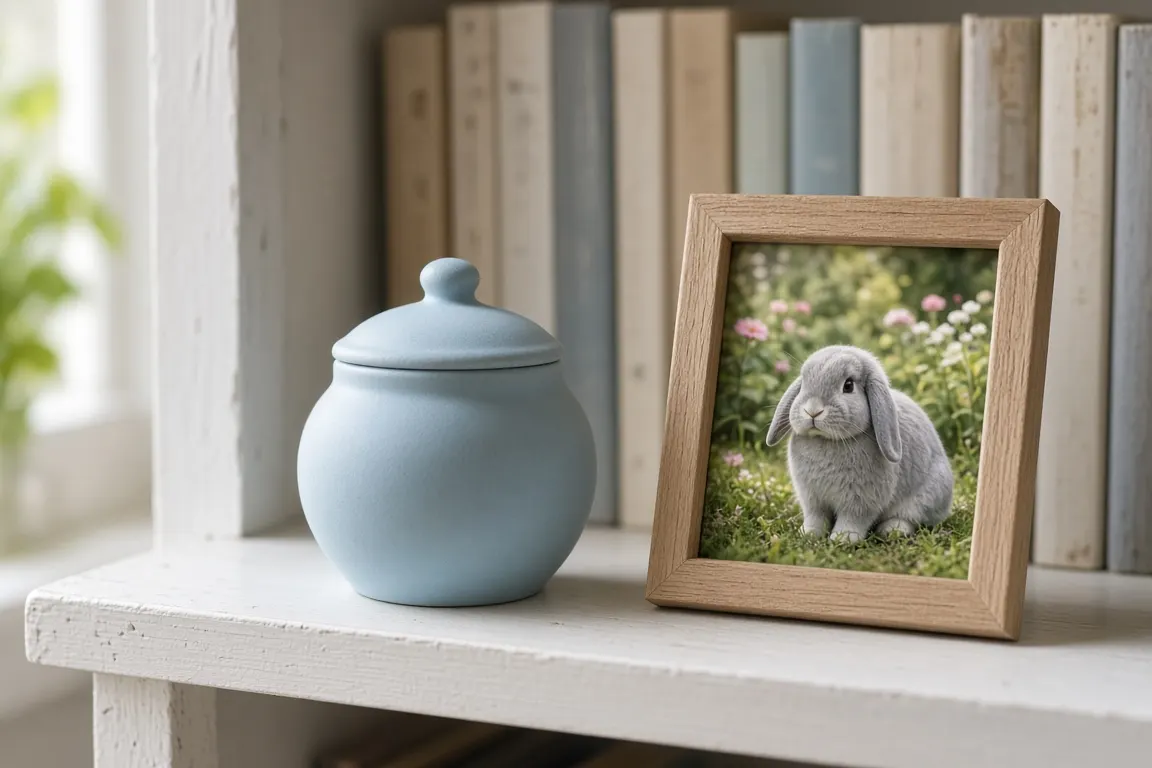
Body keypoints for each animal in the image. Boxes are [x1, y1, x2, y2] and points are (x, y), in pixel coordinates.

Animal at [765, 345, 954, 543]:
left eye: (848, 386)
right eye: (803, 384)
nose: (813, 410)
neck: (827, 440)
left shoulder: (861, 501)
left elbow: (853, 519)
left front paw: (843, 539)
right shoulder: (812, 499)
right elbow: (815, 517)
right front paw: (808, 534)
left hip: (925, 498)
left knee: (910, 518)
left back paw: (892, 530)